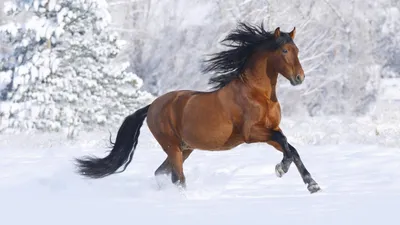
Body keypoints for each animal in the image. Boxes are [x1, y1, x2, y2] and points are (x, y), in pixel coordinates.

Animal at [76, 23, 322, 195]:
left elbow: (291, 148)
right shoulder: (251, 133)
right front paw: (281, 169)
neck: (257, 93)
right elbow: (285, 144)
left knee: (162, 173)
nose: (299, 78)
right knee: (178, 178)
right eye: (284, 51)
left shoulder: (271, 130)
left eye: (297, 49)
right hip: (173, 147)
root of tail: (153, 105)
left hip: (185, 148)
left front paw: (312, 185)